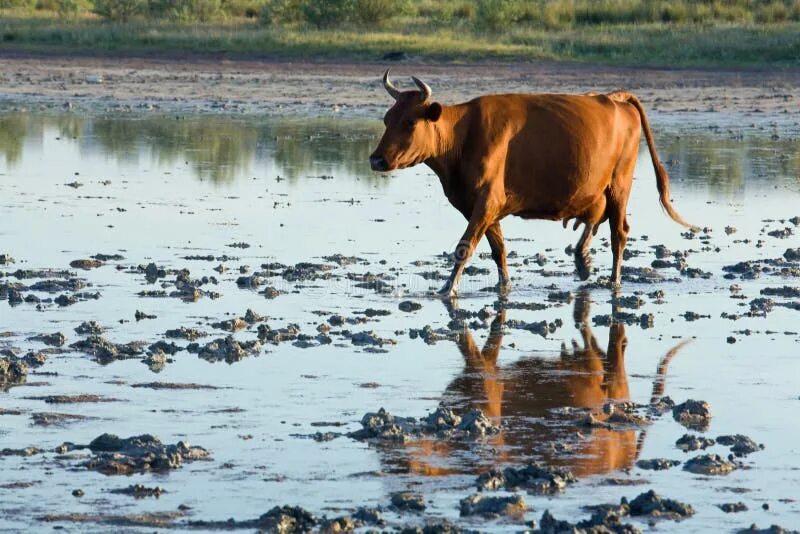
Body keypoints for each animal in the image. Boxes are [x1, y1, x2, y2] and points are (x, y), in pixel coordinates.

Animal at [368, 70, 692, 298]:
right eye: (386, 119)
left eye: (410, 122)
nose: (376, 160)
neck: (463, 135)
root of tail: (613, 98)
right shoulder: (481, 206)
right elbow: (498, 249)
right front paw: (505, 286)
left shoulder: (487, 200)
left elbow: (465, 245)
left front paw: (448, 289)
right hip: (596, 187)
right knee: (596, 216)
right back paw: (582, 259)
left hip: (620, 184)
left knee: (619, 232)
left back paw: (613, 280)